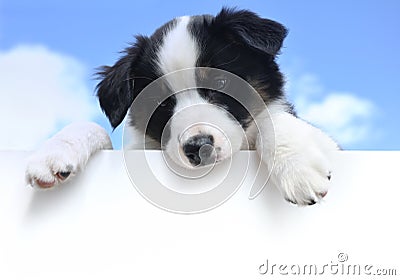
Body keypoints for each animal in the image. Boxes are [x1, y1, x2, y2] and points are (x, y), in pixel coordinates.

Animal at [24, 8, 338, 206]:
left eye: (222, 82)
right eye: (161, 102)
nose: (199, 147)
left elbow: (275, 122)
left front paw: (299, 168)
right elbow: (91, 127)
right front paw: (53, 154)